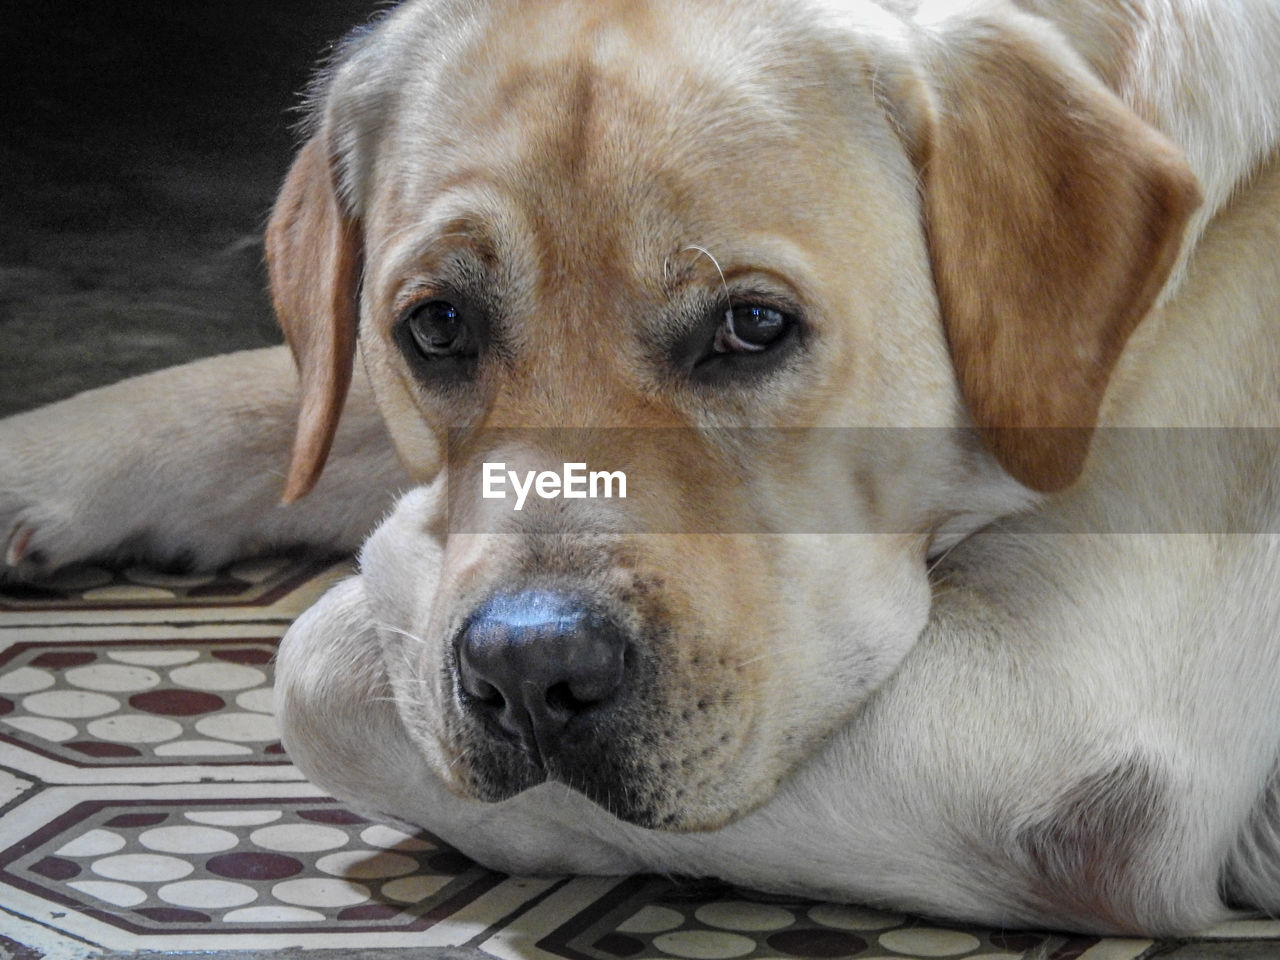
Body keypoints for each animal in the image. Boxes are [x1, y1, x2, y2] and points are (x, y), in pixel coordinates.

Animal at [2, 0, 1280, 942]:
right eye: (436, 325)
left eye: (752, 326)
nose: (529, 672)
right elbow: (283, 390)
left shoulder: (1057, 737)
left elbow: (311, 660)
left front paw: (395, 568)